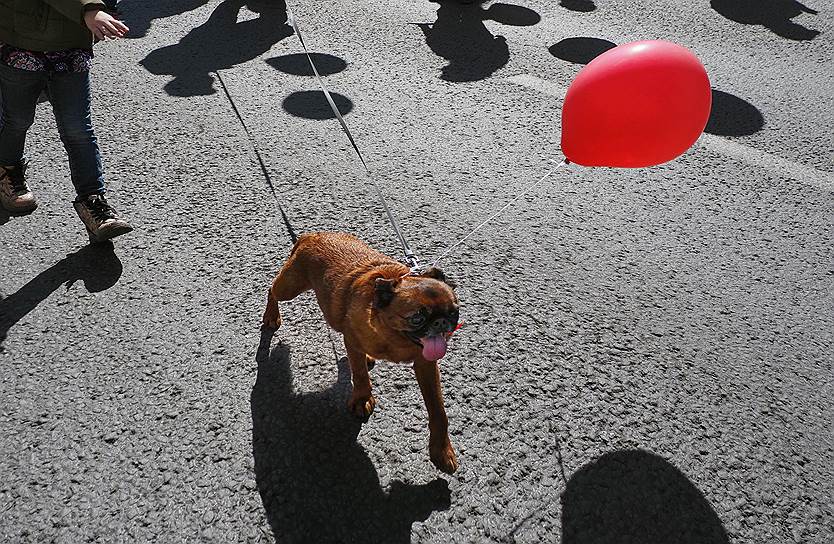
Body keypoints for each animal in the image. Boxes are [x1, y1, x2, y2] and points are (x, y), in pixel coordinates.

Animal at [262, 232, 462, 474]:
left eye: (454, 313)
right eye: (417, 317)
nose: (441, 322)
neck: (392, 335)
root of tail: (312, 235)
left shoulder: (426, 366)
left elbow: (438, 411)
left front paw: (441, 450)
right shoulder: (353, 344)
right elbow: (359, 375)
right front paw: (361, 398)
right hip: (290, 287)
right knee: (272, 290)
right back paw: (271, 315)